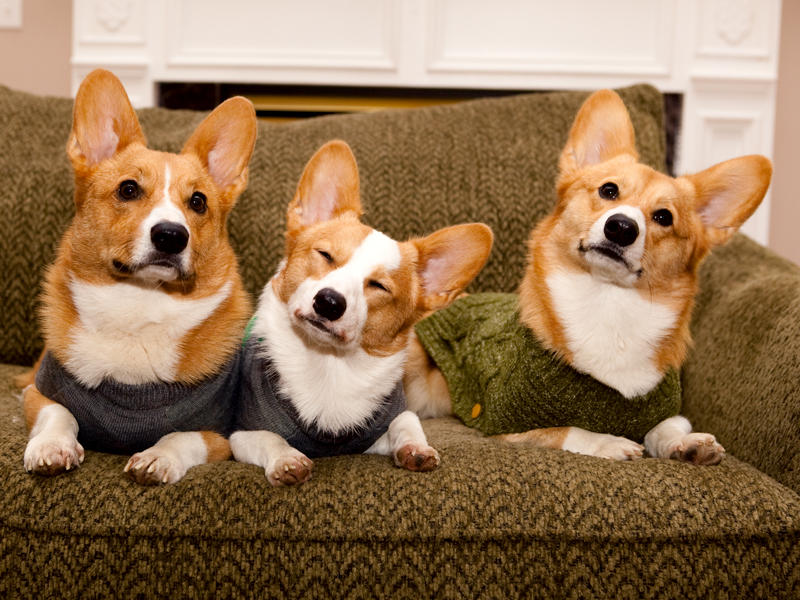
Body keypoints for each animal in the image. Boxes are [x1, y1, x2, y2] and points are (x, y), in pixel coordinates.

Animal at [20, 68, 256, 486]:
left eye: (198, 202)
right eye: (128, 189)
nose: (171, 236)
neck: (139, 304)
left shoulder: (223, 434)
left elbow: (183, 435)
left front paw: (158, 457)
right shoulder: (39, 391)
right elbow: (58, 413)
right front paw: (52, 446)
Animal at [230, 142, 494, 488]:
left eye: (379, 286)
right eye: (325, 255)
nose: (329, 302)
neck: (329, 365)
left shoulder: (384, 426)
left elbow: (406, 422)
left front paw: (416, 448)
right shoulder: (240, 436)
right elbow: (269, 438)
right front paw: (287, 460)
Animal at [410, 88, 772, 464]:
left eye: (664, 217)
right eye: (608, 190)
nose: (622, 228)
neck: (607, 303)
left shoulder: (665, 411)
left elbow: (665, 427)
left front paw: (685, 444)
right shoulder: (504, 420)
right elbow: (567, 429)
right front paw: (608, 442)